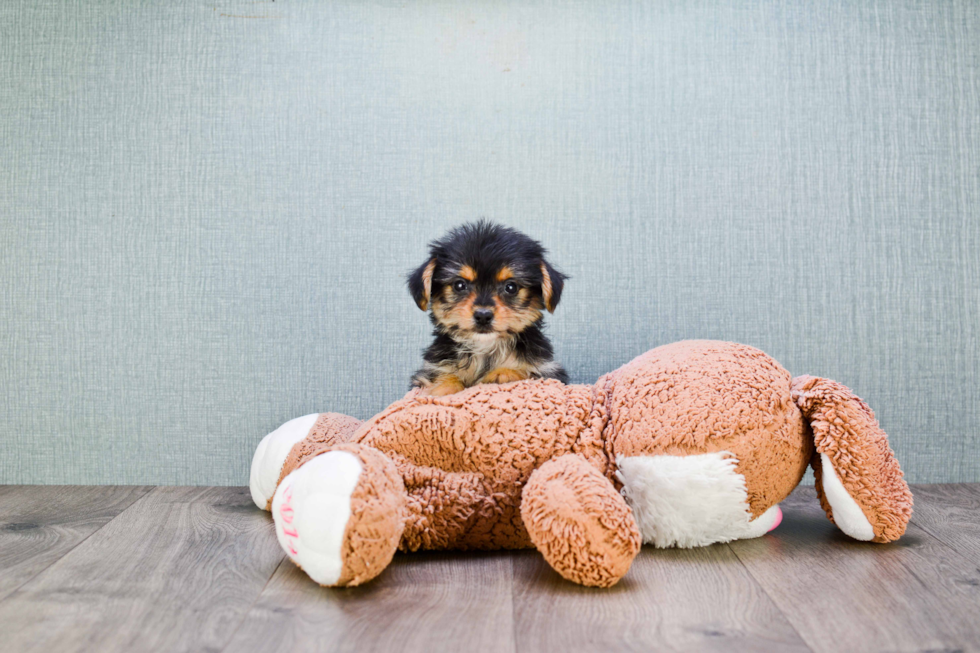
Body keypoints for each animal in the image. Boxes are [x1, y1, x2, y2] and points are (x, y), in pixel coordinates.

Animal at [404, 219, 568, 394]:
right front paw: (443, 388)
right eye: (459, 285)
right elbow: (444, 376)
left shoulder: (546, 370)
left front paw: (503, 373)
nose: (483, 315)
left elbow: (524, 372)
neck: (485, 347)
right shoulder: (434, 367)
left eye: (511, 287)